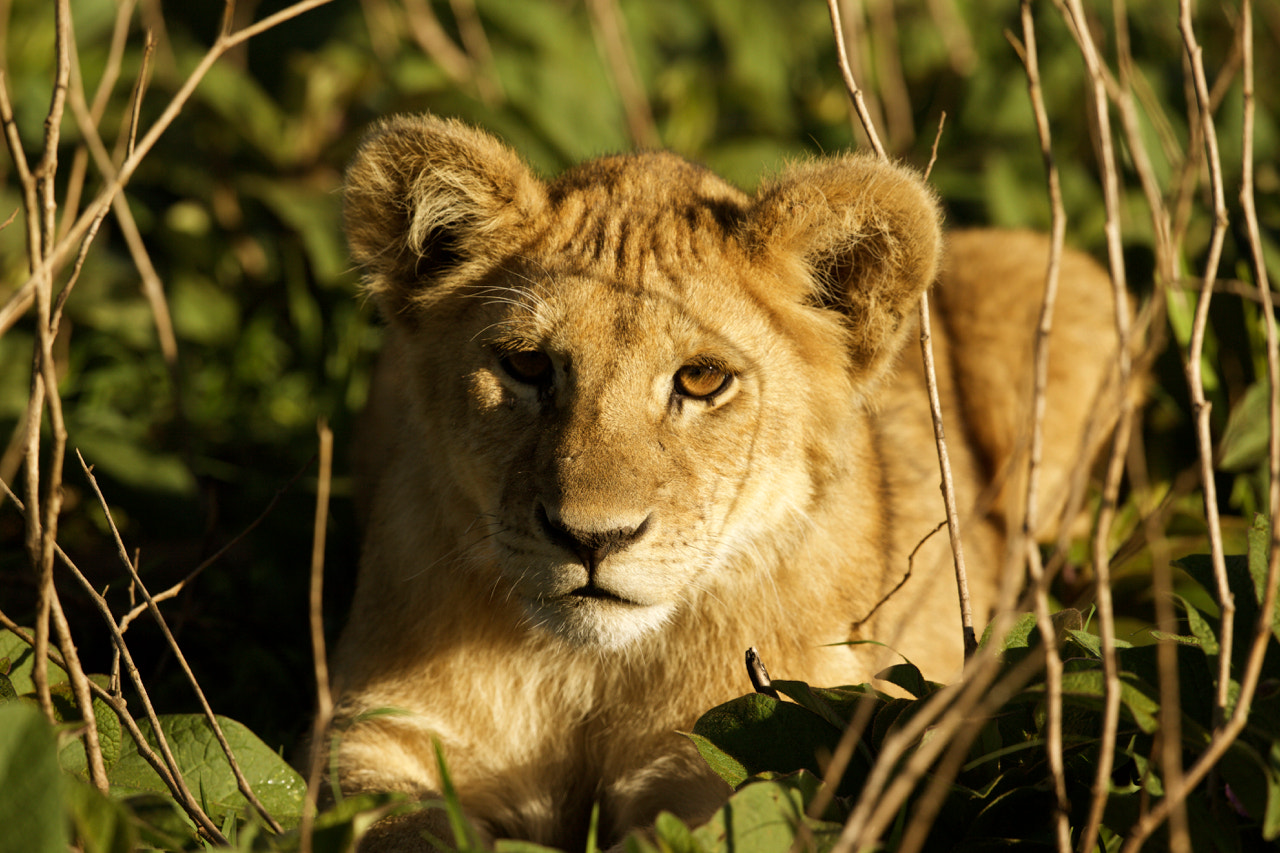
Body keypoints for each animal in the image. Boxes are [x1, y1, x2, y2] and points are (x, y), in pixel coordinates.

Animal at [325, 113, 1123, 850]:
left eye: (702, 379)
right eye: (525, 365)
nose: (592, 538)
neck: (591, 669)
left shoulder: (745, 755)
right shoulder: (378, 734)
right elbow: (400, 827)